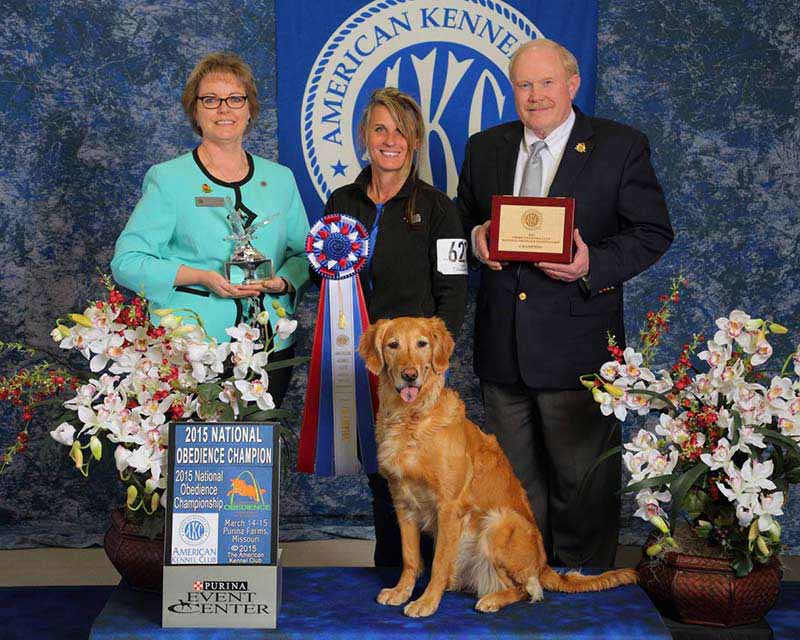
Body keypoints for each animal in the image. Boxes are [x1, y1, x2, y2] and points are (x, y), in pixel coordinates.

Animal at [360, 318, 636, 616]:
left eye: (422, 344)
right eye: (393, 345)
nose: (409, 375)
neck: (412, 418)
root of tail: (543, 564)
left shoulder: (449, 506)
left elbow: (438, 563)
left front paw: (426, 601)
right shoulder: (403, 502)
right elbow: (410, 558)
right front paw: (401, 591)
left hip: (499, 523)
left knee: (528, 588)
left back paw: (492, 599)